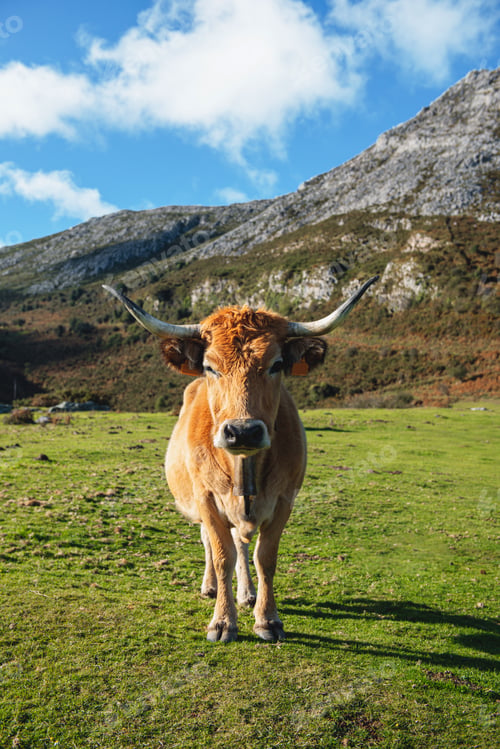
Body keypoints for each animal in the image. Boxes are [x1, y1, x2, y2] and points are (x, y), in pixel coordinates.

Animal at [103, 276, 378, 642]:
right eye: (210, 367)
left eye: (277, 364)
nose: (243, 431)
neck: (245, 470)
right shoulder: (206, 498)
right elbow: (221, 556)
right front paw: (222, 622)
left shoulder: (284, 499)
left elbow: (265, 557)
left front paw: (267, 619)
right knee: (212, 543)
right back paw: (210, 588)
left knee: (242, 546)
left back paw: (247, 594)